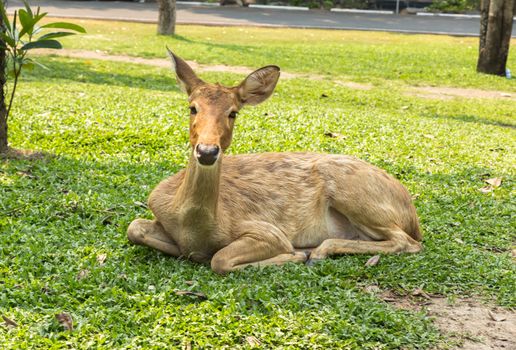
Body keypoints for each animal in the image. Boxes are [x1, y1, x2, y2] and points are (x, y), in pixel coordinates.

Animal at [127, 49, 422, 274]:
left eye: (233, 112)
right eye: (192, 107)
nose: (207, 151)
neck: (193, 226)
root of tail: (412, 214)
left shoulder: (265, 229)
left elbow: (220, 259)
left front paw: (296, 254)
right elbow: (134, 228)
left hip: (356, 194)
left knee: (407, 242)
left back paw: (316, 252)